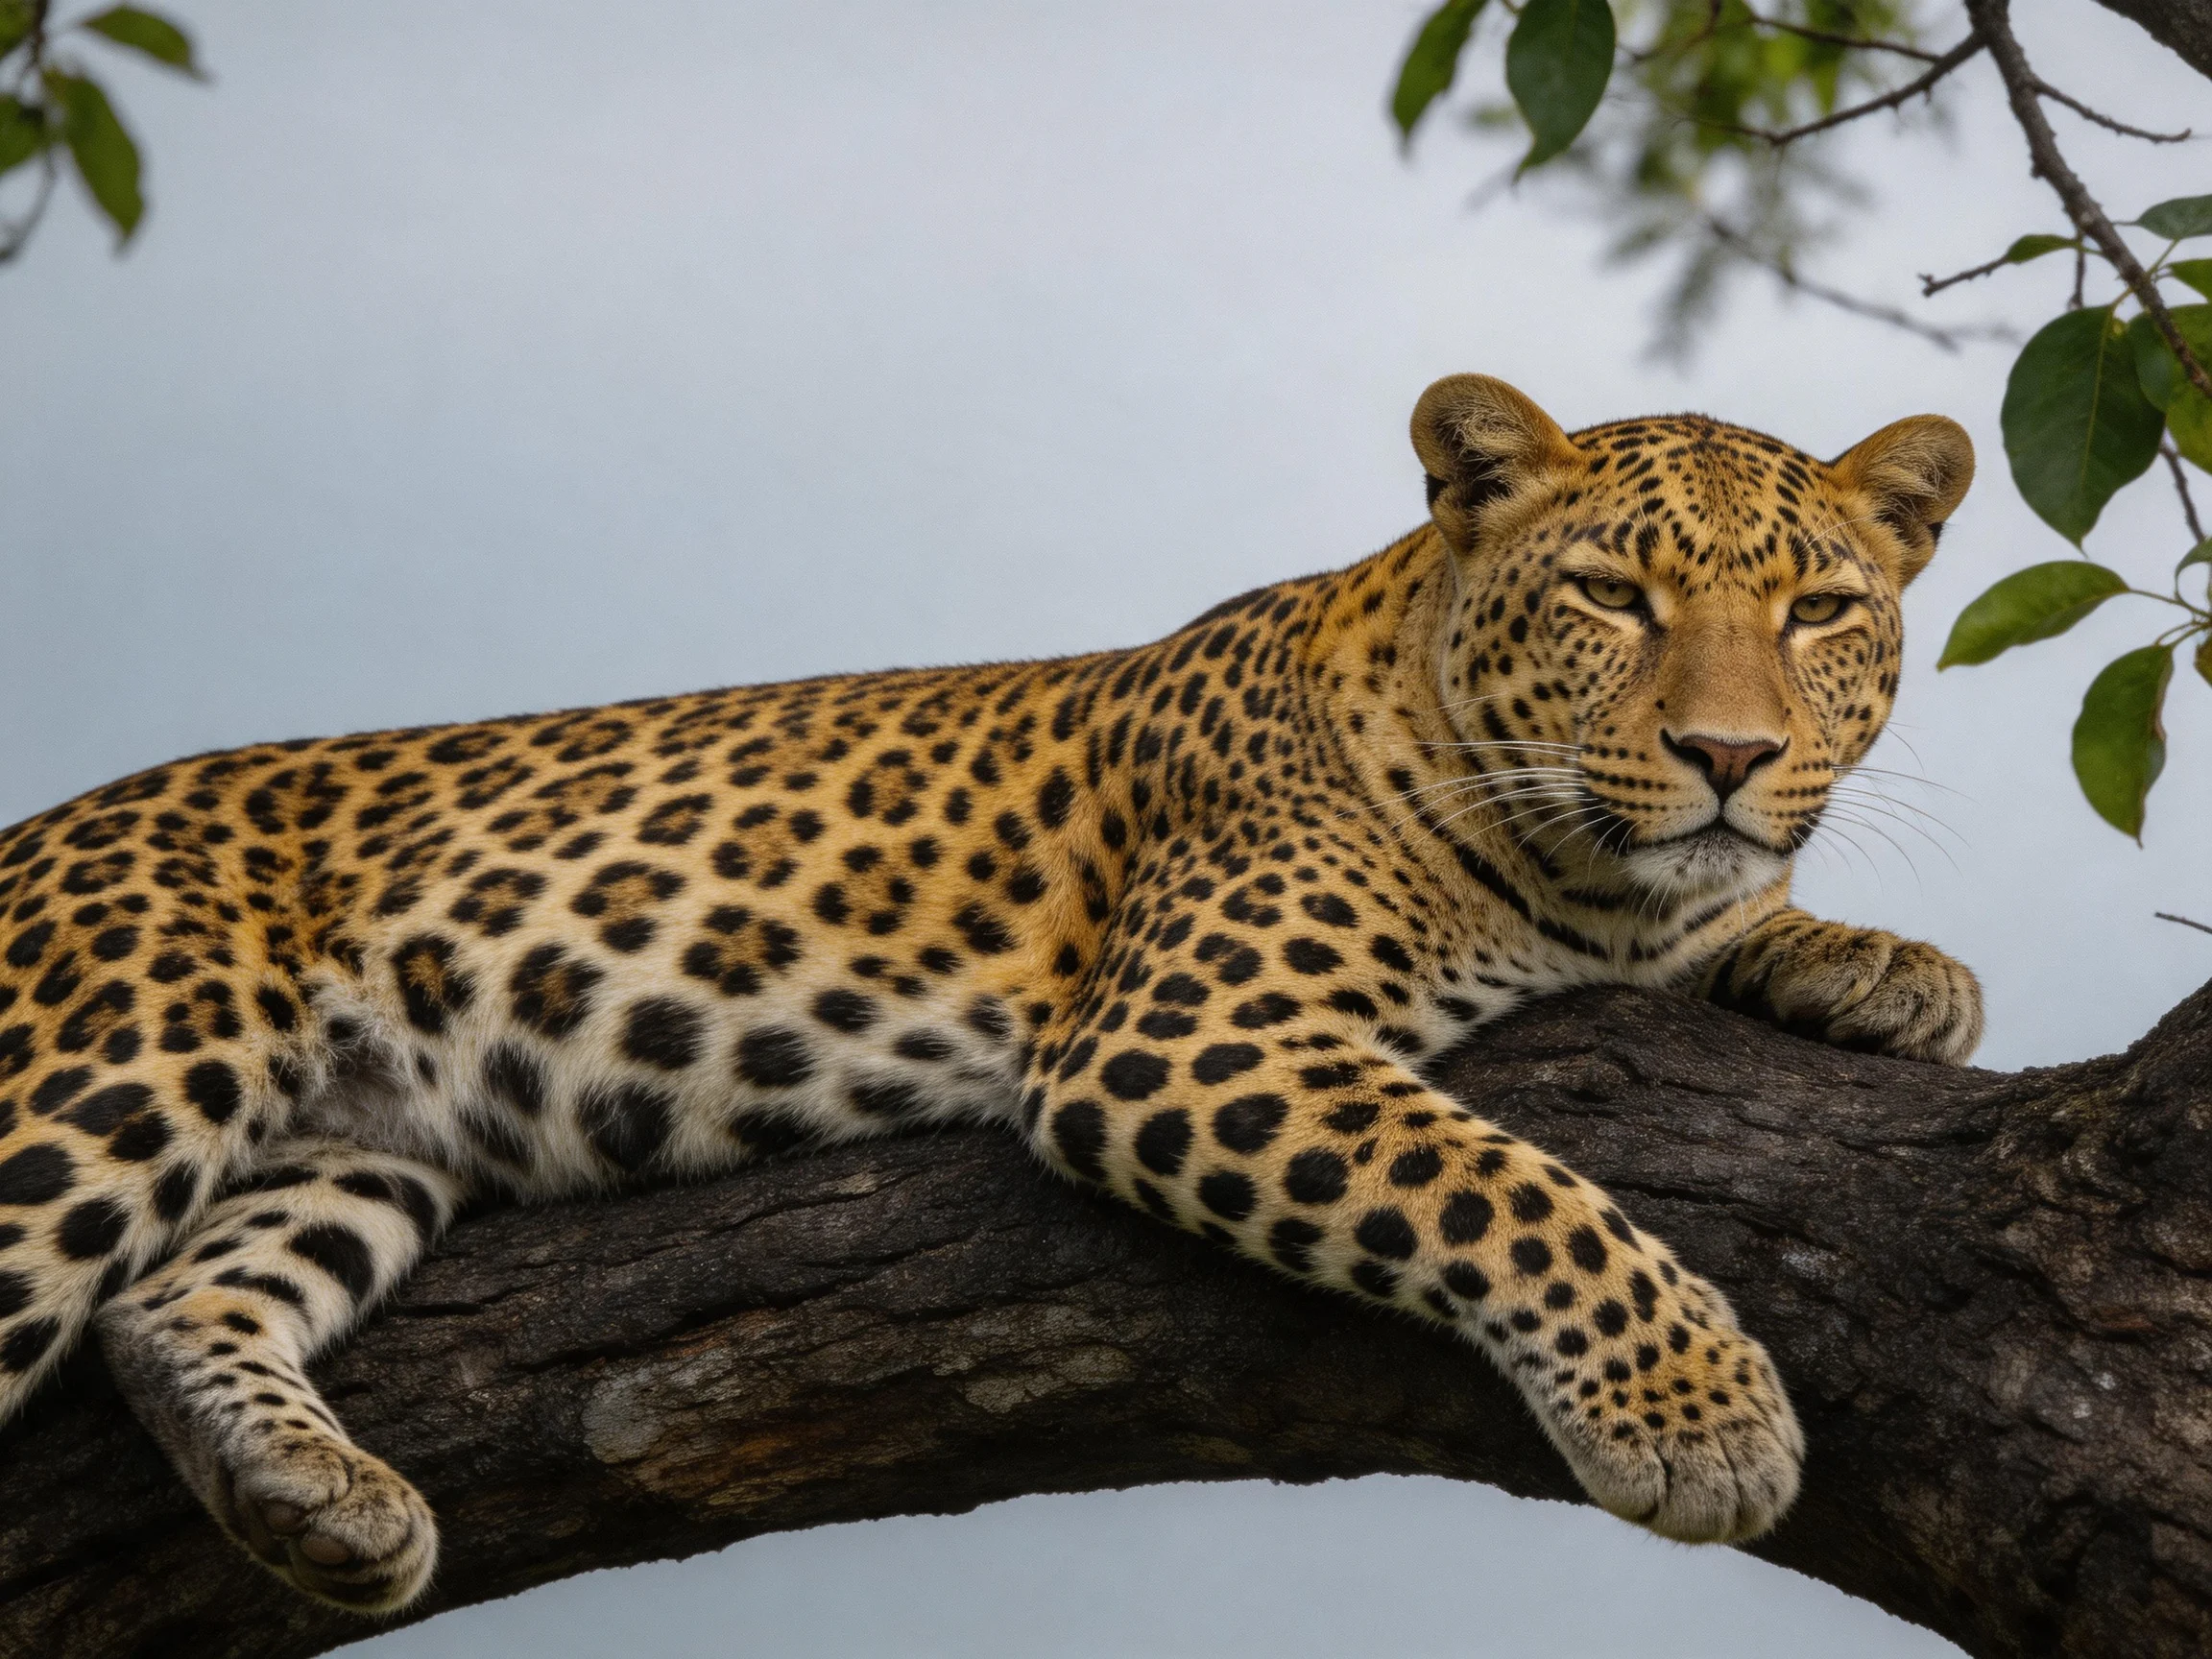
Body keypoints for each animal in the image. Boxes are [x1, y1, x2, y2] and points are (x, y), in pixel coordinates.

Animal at [0, 374, 1982, 1613]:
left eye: (1815, 611)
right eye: (1606, 594)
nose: (1726, 754)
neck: (1578, 888)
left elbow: (1742, 923)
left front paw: (1882, 966)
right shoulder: (1181, 1032)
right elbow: (1503, 1186)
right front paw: (1697, 1413)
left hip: (353, 1145)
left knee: (171, 1303)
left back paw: (317, 1502)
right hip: (116, 1061)